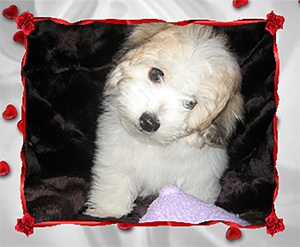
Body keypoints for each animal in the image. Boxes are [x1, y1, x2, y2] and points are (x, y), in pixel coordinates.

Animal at [84, 22, 244, 218]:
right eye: (156, 74)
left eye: (191, 103)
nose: (149, 122)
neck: (153, 145)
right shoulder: (115, 157)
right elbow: (115, 181)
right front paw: (108, 211)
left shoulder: (200, 177)